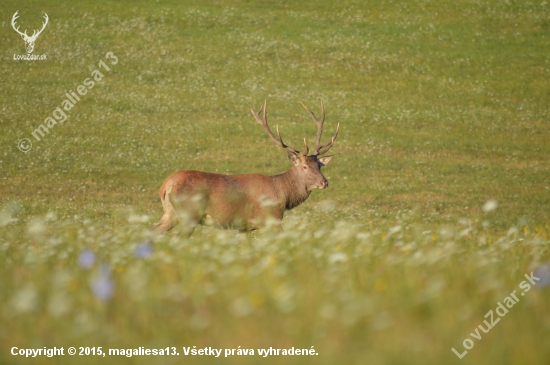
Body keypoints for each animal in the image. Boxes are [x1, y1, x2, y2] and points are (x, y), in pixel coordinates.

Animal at [152, 100, 340, 236]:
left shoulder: (243, 227)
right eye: (305, 166)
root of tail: (165, 186)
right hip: (188, 214)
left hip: (169, 214)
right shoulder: (270, 219)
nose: (324, 183)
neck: (283, 195)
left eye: (319, 165)